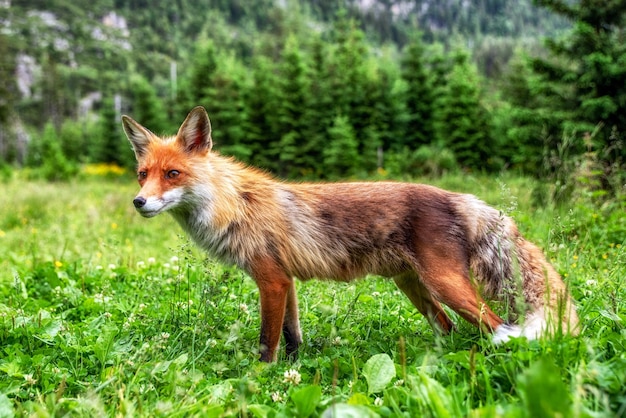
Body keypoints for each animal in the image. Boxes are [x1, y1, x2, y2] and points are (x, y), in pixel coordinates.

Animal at [123, 106, 580, 360]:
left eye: (173, 174)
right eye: (143, 174)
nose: (139, 202)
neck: (234, 204)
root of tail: (458, 196)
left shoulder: (271, 280)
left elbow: (267, 343)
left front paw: (258, 380)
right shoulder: (286, 282)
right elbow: (292, 338)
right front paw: (291, 376)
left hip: (445, 284)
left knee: (497, 325)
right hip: (413, 286)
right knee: (448, 328)